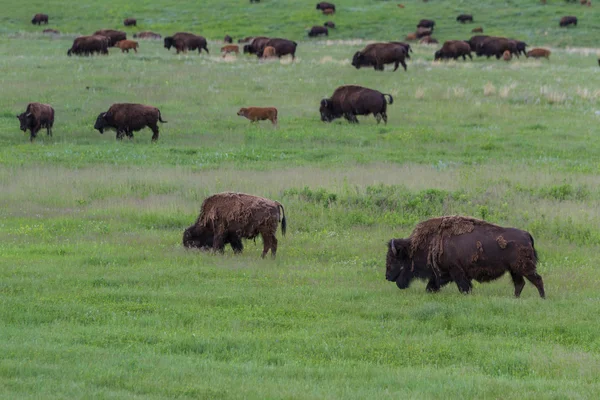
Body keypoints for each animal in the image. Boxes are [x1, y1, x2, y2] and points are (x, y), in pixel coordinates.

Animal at [386, 216, 548, 296]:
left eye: (395, 259)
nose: (387, 277)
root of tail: (526, 234)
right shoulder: (441, 274)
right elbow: (431, 286)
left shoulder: (456, 272)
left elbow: (464, 287)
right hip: (514, 270)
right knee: (519, 284)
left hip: (525, 268)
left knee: (537, 280)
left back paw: (542, 298)